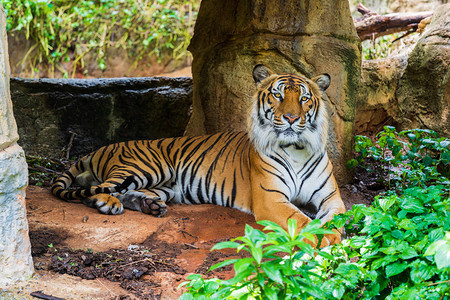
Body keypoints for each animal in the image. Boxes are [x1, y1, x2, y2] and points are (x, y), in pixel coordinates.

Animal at [51, 64, 344, 245]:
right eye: (278, 95)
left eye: (304, 98)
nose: (292, 118)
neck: (296, 150)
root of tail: (103, 147)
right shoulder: (270, 198)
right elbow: (301, 219)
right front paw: (326, 238)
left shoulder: (331, 197)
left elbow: (336, 218)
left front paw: (333, 234)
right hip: (146, 168)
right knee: (98, 189)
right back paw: (107, 203)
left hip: (165, 186)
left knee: (125, 192)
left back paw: (150, 206)